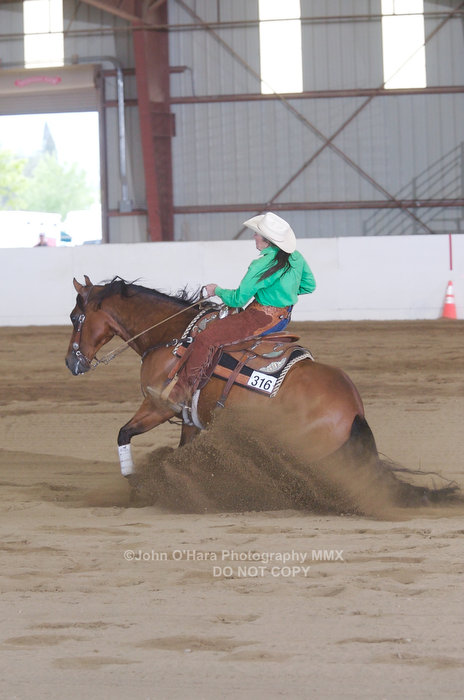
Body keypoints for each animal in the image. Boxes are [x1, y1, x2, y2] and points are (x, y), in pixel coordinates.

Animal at [65, 276, 459, 512]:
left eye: (75, 318)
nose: (71, 362)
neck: (175, 337)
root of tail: (353, 410)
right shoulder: (189, 418)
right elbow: (180, 450)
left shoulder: (158, 405)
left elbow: (124, 433)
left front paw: (138, 487)